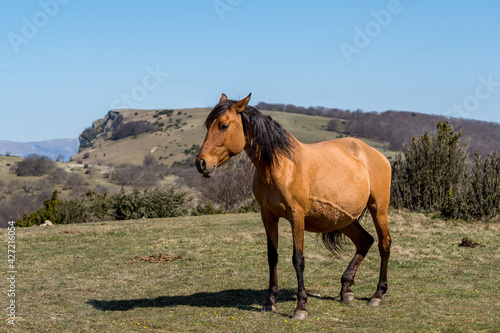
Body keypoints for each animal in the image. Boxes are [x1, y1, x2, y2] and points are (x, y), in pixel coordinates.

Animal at [193, 93, 392, 320]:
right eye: (208, 125)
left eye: (224, 125)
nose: (201, 163)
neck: (280, 166)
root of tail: (375, 154)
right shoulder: (268, 215)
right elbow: (272, 257)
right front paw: (269, 302)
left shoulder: (297, 216)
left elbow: (298, 259)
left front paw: (301, 307)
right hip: (344, 219)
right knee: (364, 241)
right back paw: (346, 289)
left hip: (378, 209)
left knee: (384, 244)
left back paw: (377, 295)